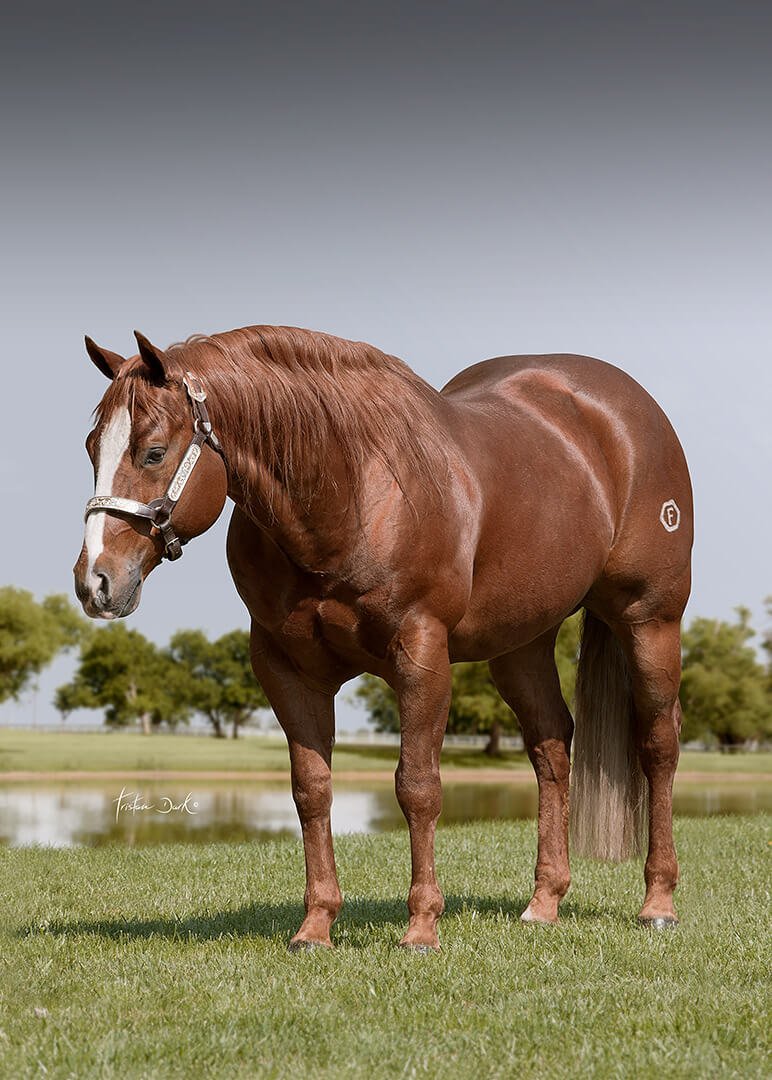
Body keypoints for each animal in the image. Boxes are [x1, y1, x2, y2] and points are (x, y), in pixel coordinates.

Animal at [74, 325, 693, 950]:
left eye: (153, 452)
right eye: (92, 447)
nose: (95, 581)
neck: (350, 497)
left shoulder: (421, 656)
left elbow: (417, 786)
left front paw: (421, 926)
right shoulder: (286, 670)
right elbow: (311, 789)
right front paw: (316, 925)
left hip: (650, 622)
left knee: (658, 745)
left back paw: (659, 902)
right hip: (521, 645)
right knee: (550, 747)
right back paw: (544, 903)